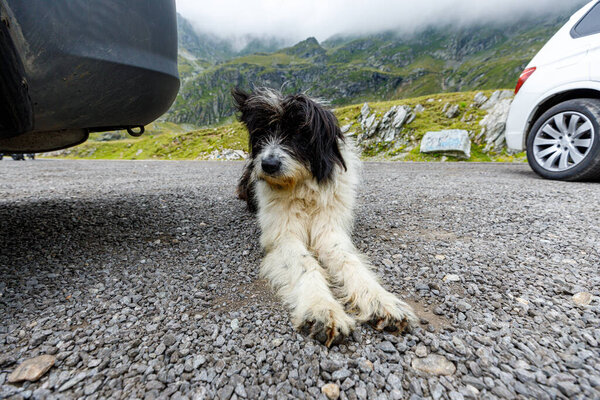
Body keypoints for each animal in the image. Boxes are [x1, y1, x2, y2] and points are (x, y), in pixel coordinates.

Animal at [233, 88, 418, 346]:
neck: (301, 188)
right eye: (262, 132)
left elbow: (349, 260)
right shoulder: (283, 236)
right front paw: (322, 309)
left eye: (299, 132)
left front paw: (382, 301)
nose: (268, 164)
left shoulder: (330, 229)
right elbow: (304, 263)